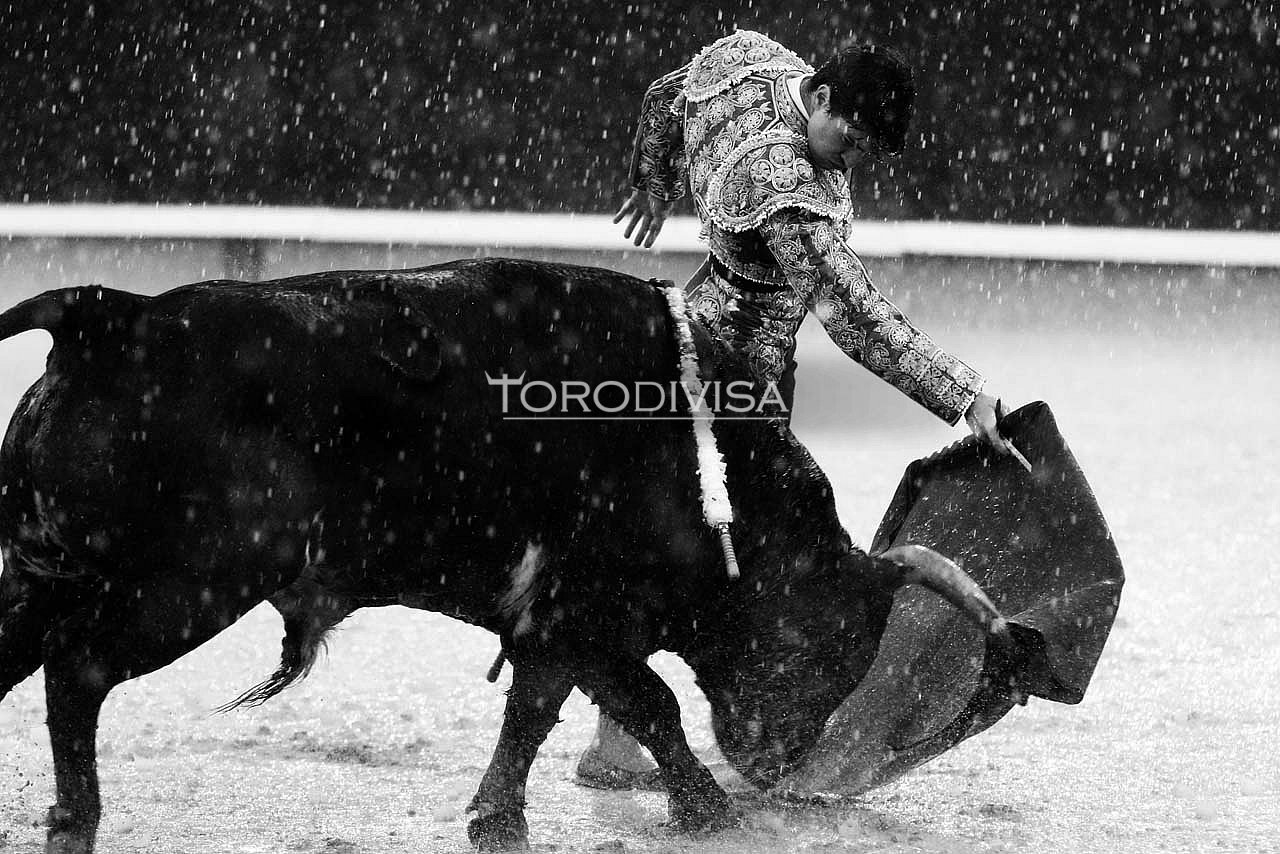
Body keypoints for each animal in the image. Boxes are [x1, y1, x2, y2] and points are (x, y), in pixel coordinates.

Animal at [0, 258, 1035, 853]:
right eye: (826, 641)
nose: (775, 764)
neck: (710, 469)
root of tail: (114, 317)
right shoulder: (583, 613)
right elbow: (628, 704)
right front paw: (708, 808)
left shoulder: (563, 622)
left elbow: (571, 707)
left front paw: (514, 816)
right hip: (190, 587)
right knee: (76, 671)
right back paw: (77, 823)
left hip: (40, 574)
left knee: (27, 660)